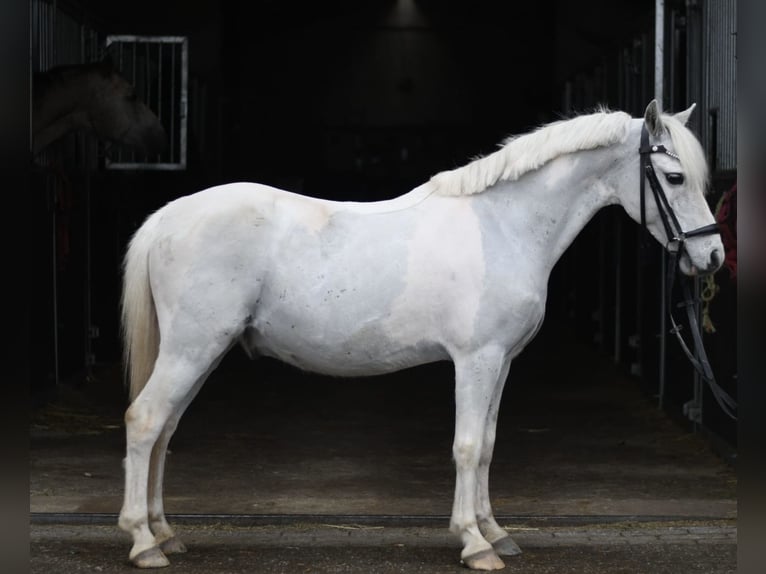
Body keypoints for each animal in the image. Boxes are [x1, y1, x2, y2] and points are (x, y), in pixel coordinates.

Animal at [117, 100, 723, 570]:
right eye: (674, 178)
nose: (713, 256)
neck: (503, 225)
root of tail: (169, 216)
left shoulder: (502, 361)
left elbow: (488, 446)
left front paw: (495, 530)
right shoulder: (476, 359)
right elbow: (467, 445)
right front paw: (475, 544)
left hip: (198, 351)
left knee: (165, 429)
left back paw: (166, 532)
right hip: (192, 348)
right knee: (145, 421)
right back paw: (144, 542)